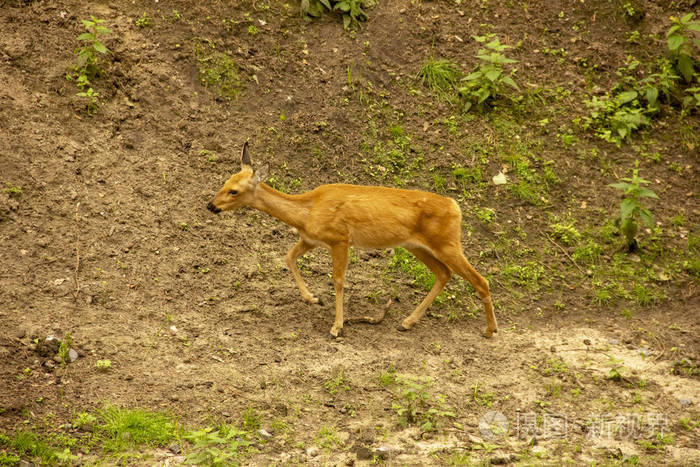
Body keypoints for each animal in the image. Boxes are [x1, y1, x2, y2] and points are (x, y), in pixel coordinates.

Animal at [207, 142, 497, 339]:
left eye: (234, 191)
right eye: (225, 181)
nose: (211, 206)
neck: (308, 211)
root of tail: (455, 206)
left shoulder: (340, 239)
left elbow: (338, 281)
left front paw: (336, 327)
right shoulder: (311, 239)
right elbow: (288, 257)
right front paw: (312, 298)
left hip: (448, 243)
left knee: (480, 280)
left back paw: (489, 329)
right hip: (416, 246)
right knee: (444, 274)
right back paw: (407, 322)